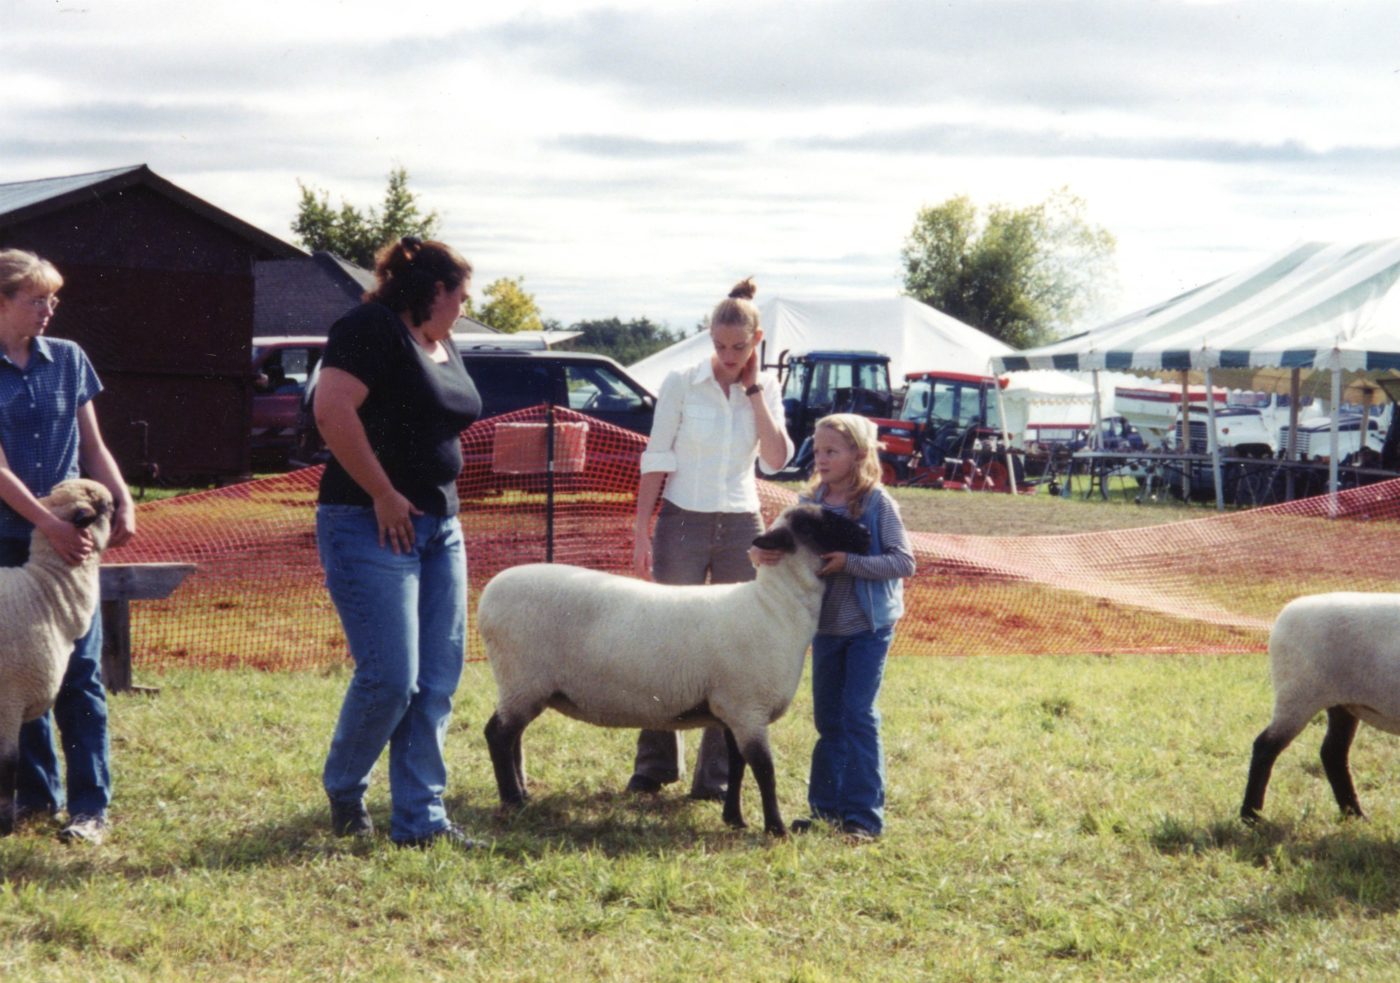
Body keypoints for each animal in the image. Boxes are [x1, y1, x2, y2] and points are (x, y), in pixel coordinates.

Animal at [487, 509, 868, 840]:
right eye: (815, 524)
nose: (865, 533)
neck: (776, 607)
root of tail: (488, 594)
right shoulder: (748, 708)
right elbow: (764, 769)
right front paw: (776, 828)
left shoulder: (732, 711)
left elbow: (737, 765)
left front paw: (735, 818)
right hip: (522, 679)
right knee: (498, 735)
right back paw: (512, 799)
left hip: (524, 686)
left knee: (513, 737)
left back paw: (522, 792)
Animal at [1243, 593, 1400, 823]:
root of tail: (1286, 613)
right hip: (1297, 694)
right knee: (1265, 747)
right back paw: (1251, 816)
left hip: (1340, 704)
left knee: (1333, 753)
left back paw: (1355, 814)